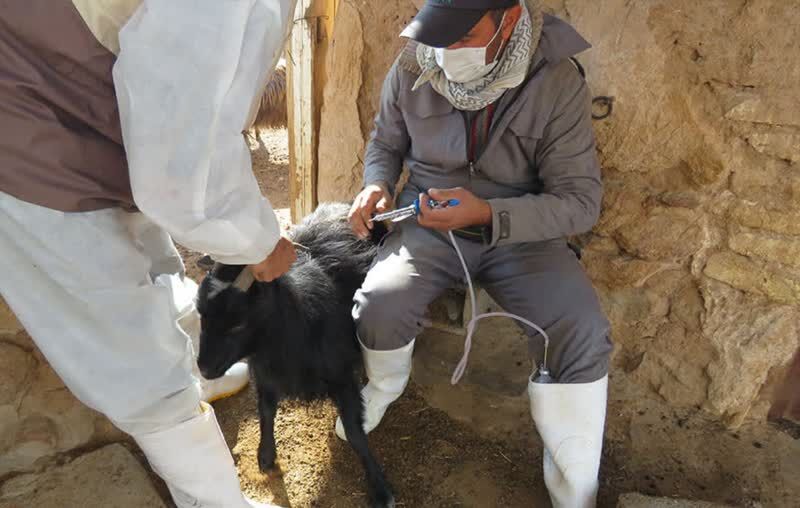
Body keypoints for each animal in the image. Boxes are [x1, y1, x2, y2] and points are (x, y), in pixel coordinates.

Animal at [195, 202, 392, 508]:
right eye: (201, 315)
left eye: (237, 323)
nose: (203, 369)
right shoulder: (264, 372)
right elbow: (265, 411)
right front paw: (265, 455)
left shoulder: (341, 376)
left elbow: (354, 432)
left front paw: (380, 488)